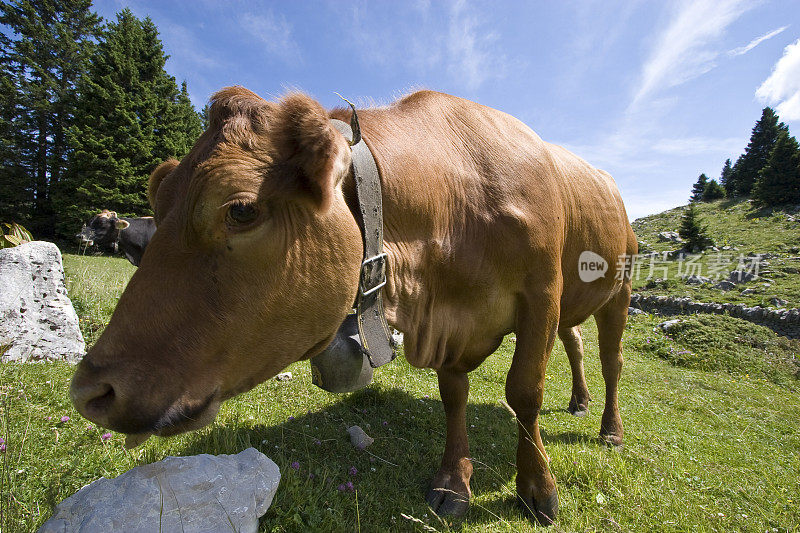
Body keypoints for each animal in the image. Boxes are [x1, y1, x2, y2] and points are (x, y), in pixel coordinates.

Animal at [73, 88, 636, 524]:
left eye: (241, 210)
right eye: (159, 208)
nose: (90, 391)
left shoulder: (542, 294)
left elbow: (525, 392)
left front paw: (538, 489)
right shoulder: (456, 324)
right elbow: (454, 397)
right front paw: (453, 482)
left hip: (619, 289)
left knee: (611, 360)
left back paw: (609, 428)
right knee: (576, 343)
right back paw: (580, 400)